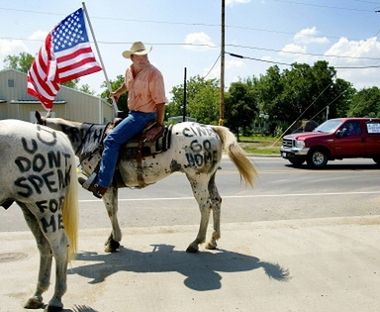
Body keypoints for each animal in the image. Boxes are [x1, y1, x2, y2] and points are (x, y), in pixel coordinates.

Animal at [0, 120, 78, 312]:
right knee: (44, 245)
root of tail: (57, 136)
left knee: (59, 245)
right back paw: (37, 295)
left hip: (45, 205)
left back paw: (56, 299)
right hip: (29, 208)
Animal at [35, 111, 256, 254]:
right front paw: (112, 240)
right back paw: (212, 240)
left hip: (197, 178)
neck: (90, 139)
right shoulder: (112, 186)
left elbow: (110, 211)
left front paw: (113, 241)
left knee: (205, 206)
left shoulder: (104, 185)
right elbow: (114, 210)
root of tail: (210, 128)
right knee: (217, 202)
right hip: (210, 178)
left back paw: (196, 243)